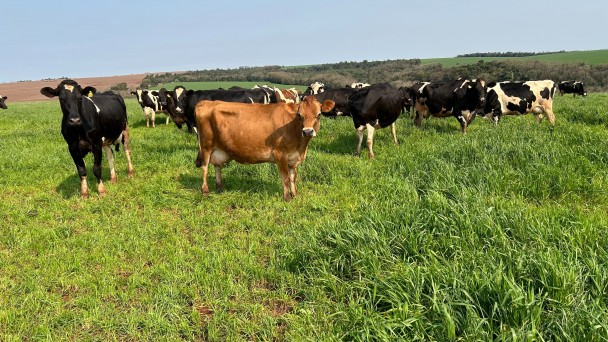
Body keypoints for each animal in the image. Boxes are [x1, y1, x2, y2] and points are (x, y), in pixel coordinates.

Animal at [195, 95, 334, 202]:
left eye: (319, 114)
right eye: (299, 115)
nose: (307, 131)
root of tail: (206, 102)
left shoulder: (293, 158)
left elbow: (293, 177)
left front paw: (294, 195)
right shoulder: (280, 154)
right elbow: (285, 178)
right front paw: (287, 198)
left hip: (218, 150)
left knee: (217, 166)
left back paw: (220, 187)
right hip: (206, 146)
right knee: (205, 167)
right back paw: (205, 191)